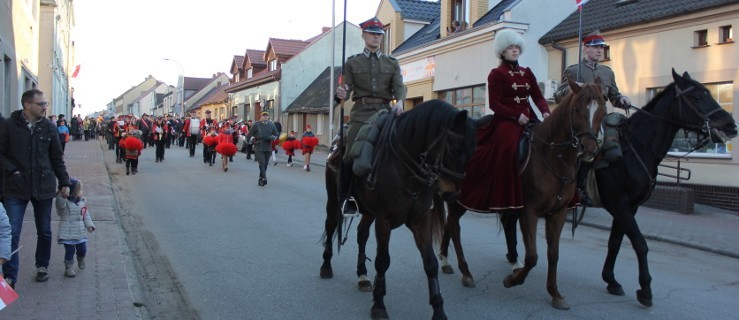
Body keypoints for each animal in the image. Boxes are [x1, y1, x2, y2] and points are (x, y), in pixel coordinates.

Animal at [320, 100, 476, 320]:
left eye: (472, 153)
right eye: (453, 150)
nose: (452, 194)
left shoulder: (421, 220)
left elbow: (430, 263)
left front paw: (438, 309)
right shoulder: (384, 220)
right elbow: (382, 261)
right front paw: (378, 305)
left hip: (369, 212)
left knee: (361, 234)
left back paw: (362, 276)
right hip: (334, 201)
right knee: (331, 226)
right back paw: (326, 266)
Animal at [440, 78, 608, 310]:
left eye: (602, 110)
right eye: (577, 109)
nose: (589, 149)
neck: (553, 156)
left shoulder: (558, 213)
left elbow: (553, 254)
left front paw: (555, 293)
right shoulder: (529, 211)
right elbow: (532, 257)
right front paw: (512, 280)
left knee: (450, 224)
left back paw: (446, 261)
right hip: (458, 198)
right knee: (455, 227)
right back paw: (465, 272)